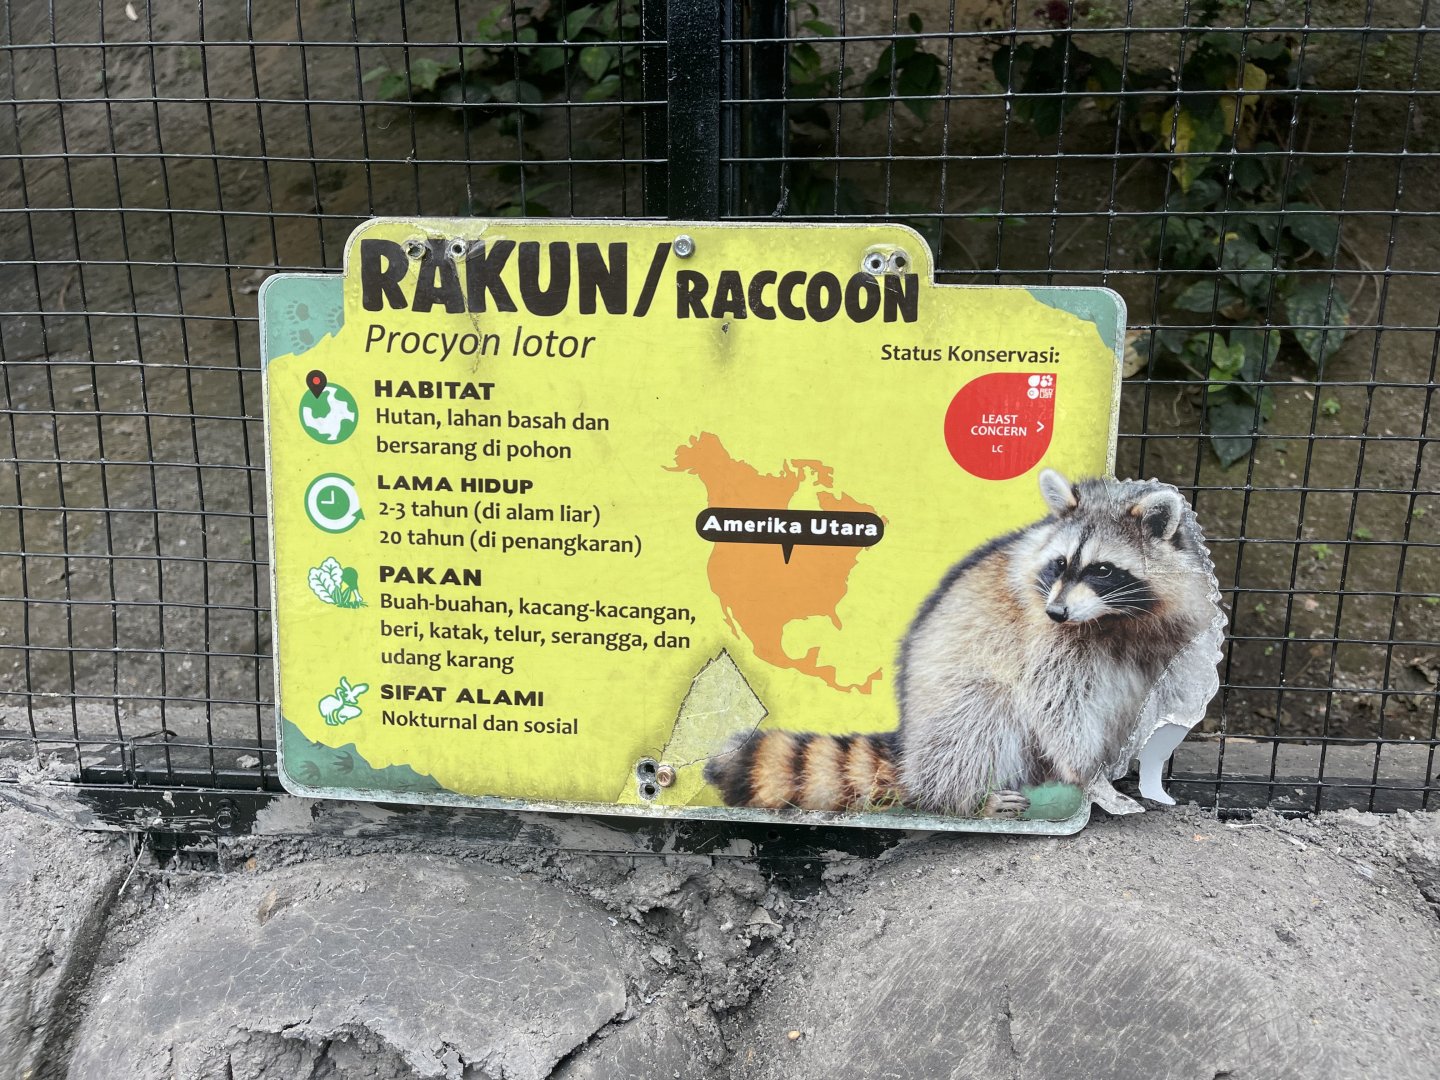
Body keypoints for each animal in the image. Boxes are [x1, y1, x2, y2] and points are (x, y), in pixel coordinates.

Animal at [704, 469, 1214, 817]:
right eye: (1060, 563)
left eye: (1102, 569)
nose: (1057, 612)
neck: (1115, 619)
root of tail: (910, 745)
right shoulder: (1046, 641)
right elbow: (1057, 704)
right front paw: (1088, 774)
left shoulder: (1167, 634)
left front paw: (1121, 766)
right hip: (948, 707)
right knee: (981, 717)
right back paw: (965, 799)